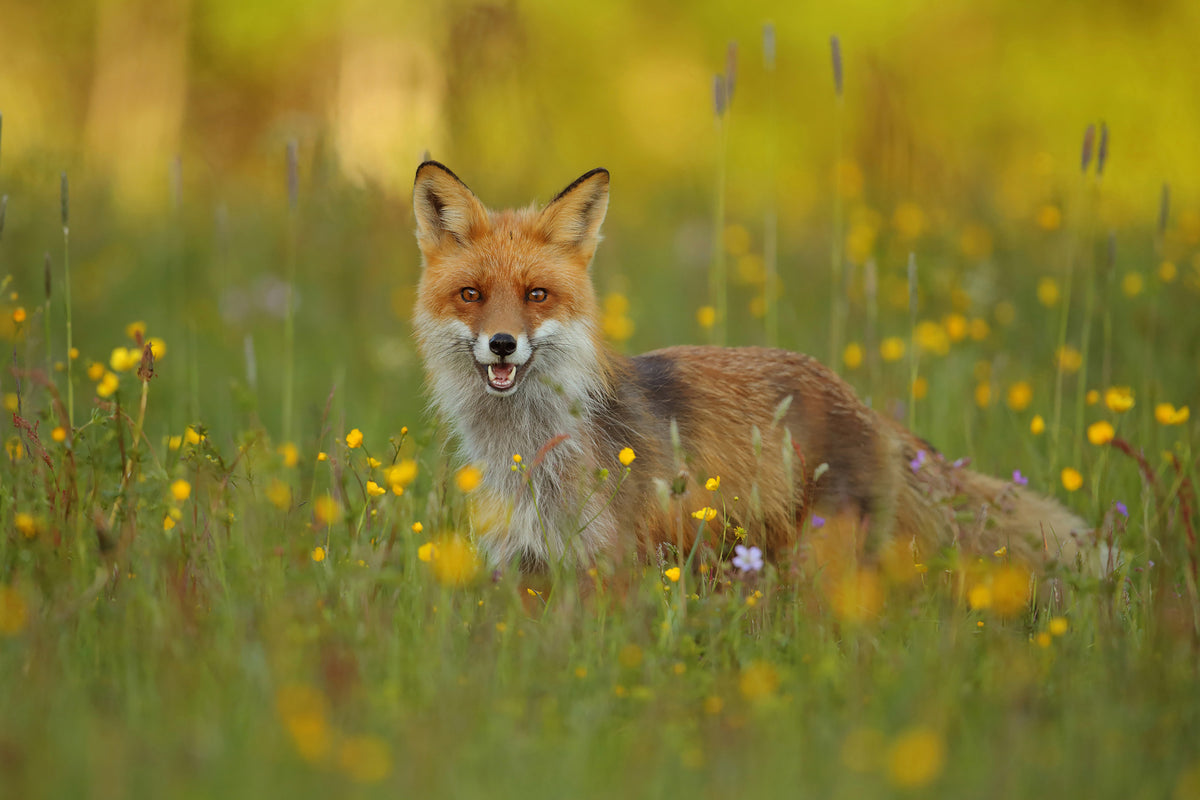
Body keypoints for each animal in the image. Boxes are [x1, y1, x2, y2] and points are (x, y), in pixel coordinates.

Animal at [411, 160, 1091, 583]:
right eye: (471, 295)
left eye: (537, 295)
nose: (503, 345)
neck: (534, 453)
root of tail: (862, 405)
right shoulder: (524, 566)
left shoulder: (610, 564)